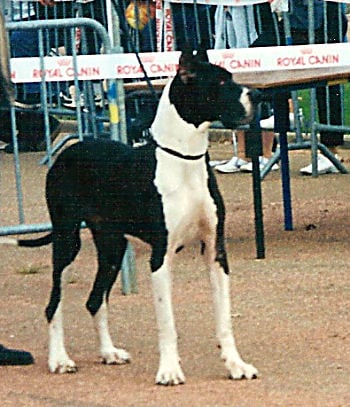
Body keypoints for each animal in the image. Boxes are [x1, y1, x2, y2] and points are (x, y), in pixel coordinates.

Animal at [10, 48, 260, 386]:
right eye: (220, 82)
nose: (257, 95)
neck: (185, 159)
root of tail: (68, 151)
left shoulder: (215, 252)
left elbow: (224, 320)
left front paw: (236, 365)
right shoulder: (161, 256)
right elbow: (167, 323)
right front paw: (169, 370)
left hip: (112, 247)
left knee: (94, 300)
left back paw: (108, 352)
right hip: (66, 242)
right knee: (54, 304)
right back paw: (59, 359)